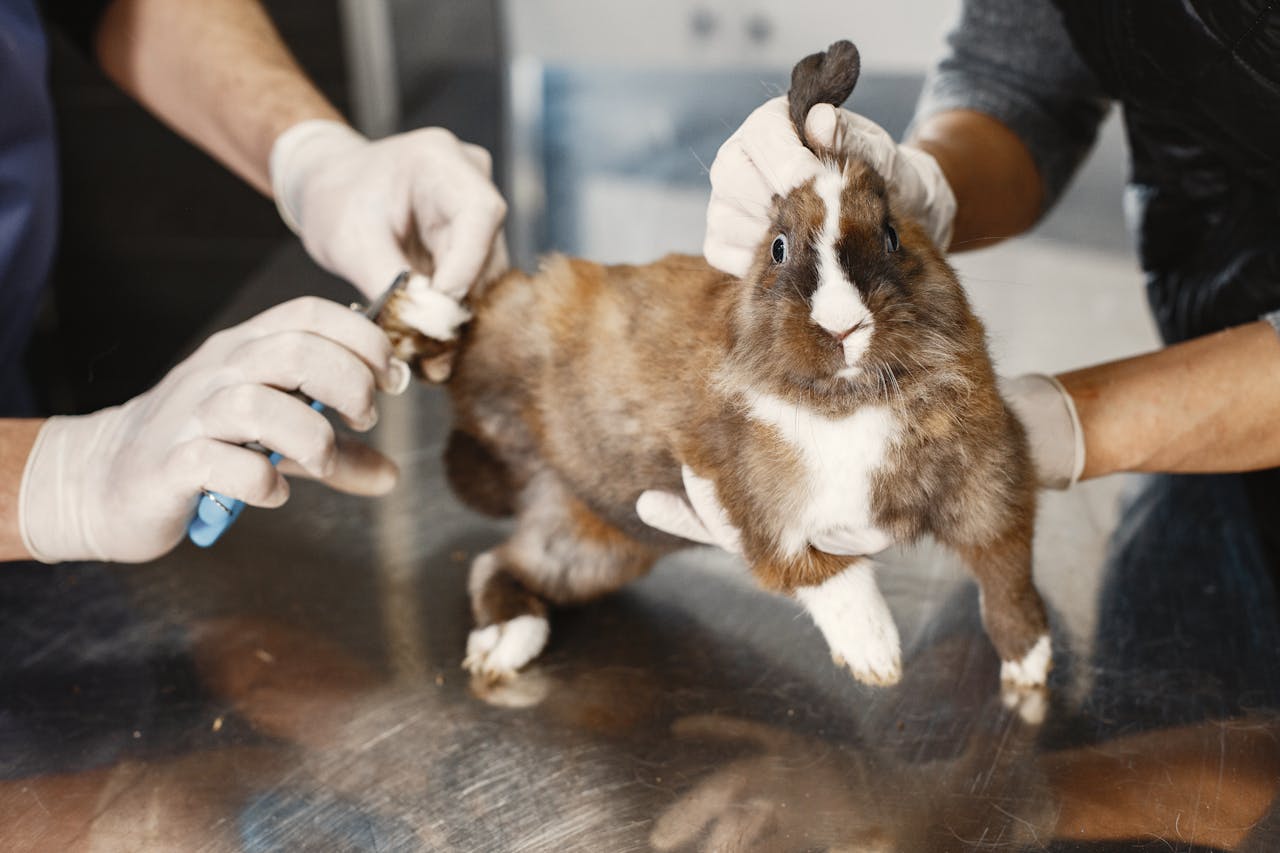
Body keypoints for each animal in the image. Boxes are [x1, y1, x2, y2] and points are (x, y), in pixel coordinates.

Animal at [380, 40, 1051, 695]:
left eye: (892, 236)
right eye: (777, 249)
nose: (843, 326)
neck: (848, 404)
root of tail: (530, 471)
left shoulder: (991, 482)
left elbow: (1006, 571)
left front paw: (1030, 662)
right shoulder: (758, 508)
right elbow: (828, 575)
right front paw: (877, 655)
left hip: (597, 542)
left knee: (502, 564)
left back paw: (505, 641)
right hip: (511, 338)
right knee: (459, 342)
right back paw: (422, 307)